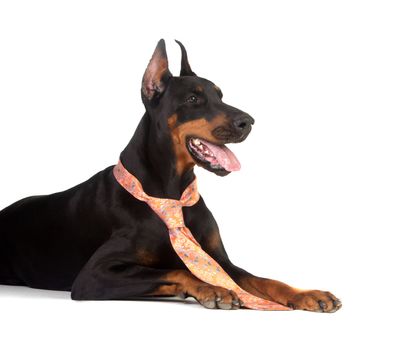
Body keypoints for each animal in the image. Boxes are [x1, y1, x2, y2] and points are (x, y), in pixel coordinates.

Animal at [0, 39, 340, 312]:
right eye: (193, 99)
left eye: (221, 95)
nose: (249, 121)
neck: (170, 193)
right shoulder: (93, 275)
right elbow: (178, 271)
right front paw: (213, 289)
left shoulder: (222, 261)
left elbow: (265, 280)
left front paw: (309, 294)